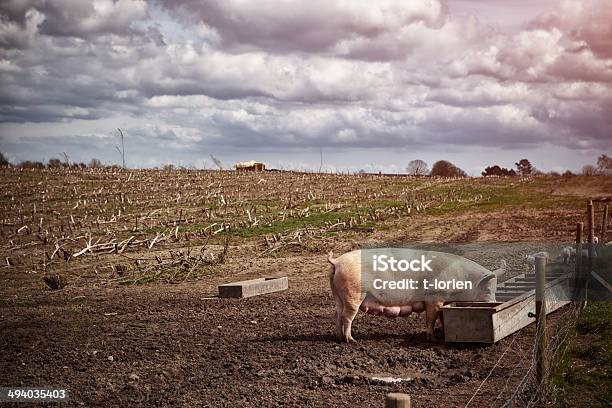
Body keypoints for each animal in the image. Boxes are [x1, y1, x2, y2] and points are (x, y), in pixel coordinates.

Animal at [330, 247, 506, 342]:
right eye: (488, 290)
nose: (494, 302)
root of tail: (337, 261)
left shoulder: (444, 301)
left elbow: (442, 317)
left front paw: (442, 334)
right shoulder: (435, 296)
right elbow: (431, 318)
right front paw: (433, 340)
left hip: (338, 295)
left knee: (337, 315)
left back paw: (339, 338)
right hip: (354, 294)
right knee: (347, 317)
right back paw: (351, 340)